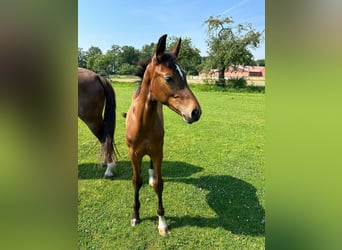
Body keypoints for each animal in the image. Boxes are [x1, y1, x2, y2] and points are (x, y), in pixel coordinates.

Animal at [125, 34, 200, 235]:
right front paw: (135, 216)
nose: (195, 112)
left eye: (185, 76)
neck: (143, 124)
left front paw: (162, 222)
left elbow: (159, 184)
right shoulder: (133, 153)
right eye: (168, 78)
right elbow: (136, 181)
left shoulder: (158, 152)